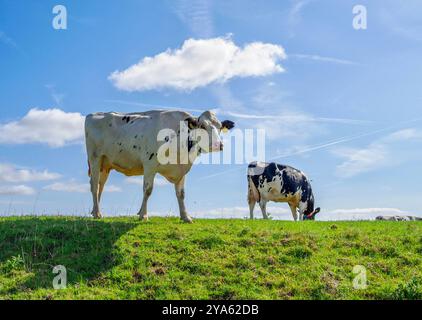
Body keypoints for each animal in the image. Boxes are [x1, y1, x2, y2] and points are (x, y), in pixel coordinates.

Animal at [85, 110, 234, 222]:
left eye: (220, 127)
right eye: (202, 126)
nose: (218, 145)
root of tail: (94, 114)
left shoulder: (182, 169)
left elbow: (181, 194)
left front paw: (185, 216)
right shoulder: (149, 165)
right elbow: (147, 190)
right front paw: (143, 215)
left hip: (105, 164)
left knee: (100, 186)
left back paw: (94, 211)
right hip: (95, 158)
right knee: (94, 185)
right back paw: (97, 213)